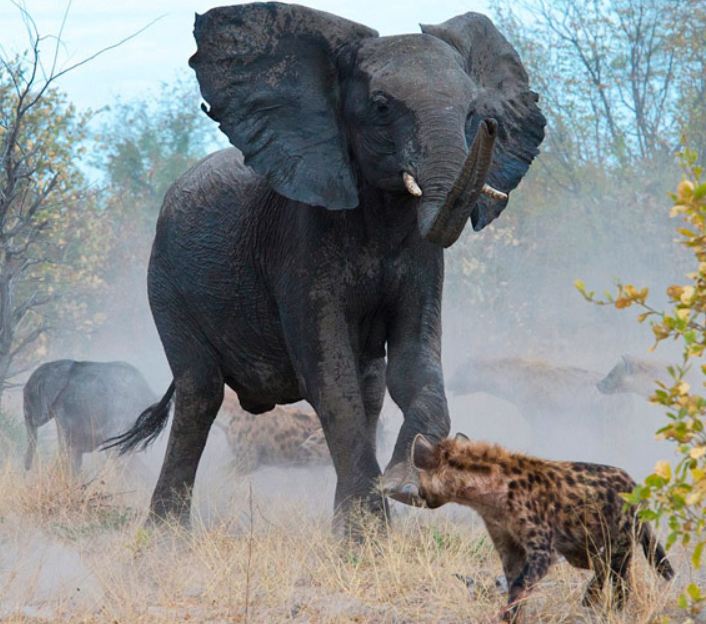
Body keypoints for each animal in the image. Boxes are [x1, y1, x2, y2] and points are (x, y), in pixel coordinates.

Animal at [106, 3, 544, 532]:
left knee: (370, 387)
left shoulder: (422, 260)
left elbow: (414, 364)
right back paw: (167, 535)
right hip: (165, 282)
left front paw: (399, 487)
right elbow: (330, 379)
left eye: (473, 110)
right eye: (381, 106)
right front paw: (368, 530)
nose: (489, 131)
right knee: (200, 394)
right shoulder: (299, 245)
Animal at [410, 434, 672, 620]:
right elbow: (514, 581)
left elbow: (522, 582)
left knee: (620, 578)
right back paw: (589, 599)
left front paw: (506, 615)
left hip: (620, 538)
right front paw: (515, 615)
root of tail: (635, 484)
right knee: (603, 567)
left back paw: (612, 610)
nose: (419, 495)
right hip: (588, 547)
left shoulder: (542, 546)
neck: (491, 498)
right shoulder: (506, 541)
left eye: (419, 480)